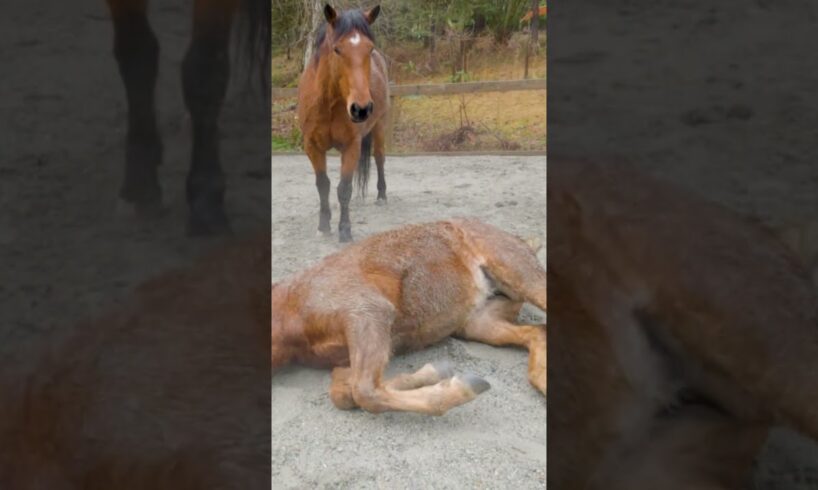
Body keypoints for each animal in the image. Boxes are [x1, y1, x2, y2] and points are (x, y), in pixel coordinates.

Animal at [272, 218, 547, 415]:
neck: (292, 307)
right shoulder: (343, 358)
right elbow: (344, 394)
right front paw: (436, 371)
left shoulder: (368, 312)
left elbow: (365, 392)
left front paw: (460, 385)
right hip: (478, 323)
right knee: (536, 332)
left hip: (522, 276)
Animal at [297, 4, 390, 243]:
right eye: (337, 50)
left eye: (369, 49)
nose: (361, 108)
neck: (328, 103)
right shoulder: (312, 146)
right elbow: (323, 185)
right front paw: (323, 226)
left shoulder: (351, 145)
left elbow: (344, 188)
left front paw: (345, 229)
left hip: (379, 126)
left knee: (379, 158)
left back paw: (381, 195)